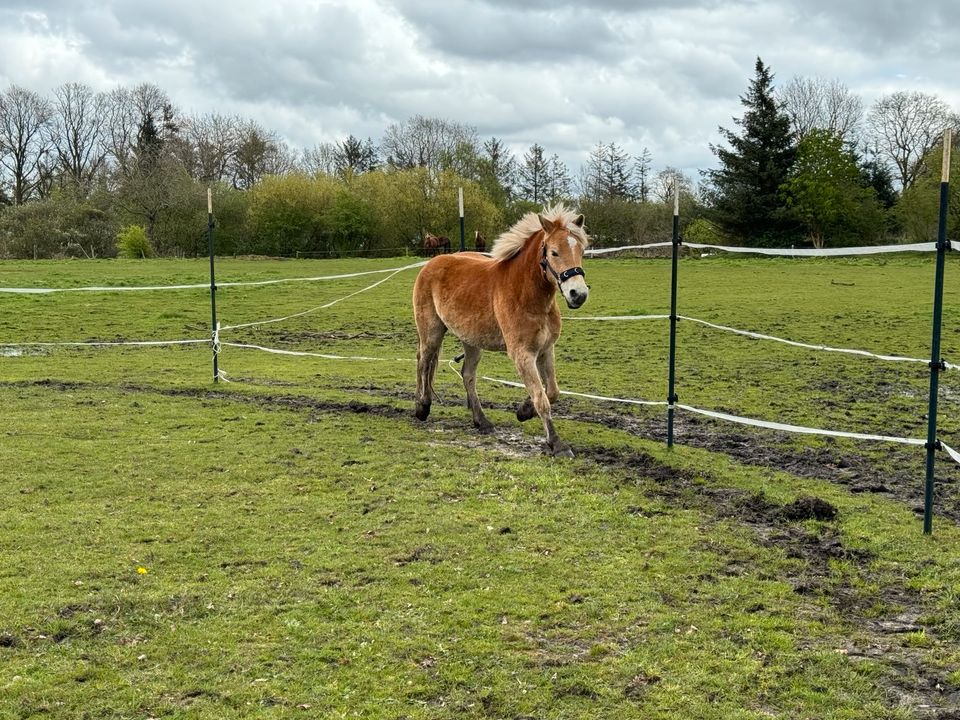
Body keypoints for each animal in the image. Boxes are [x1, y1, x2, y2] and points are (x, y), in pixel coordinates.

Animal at [410, 202, 588, 456]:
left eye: (581, 250)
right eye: (554, 252)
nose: (578, 294)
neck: (528, 295)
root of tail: (431, 263)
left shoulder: (546, 350)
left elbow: (551, 392)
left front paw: (524, 411)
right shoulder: (522, 355)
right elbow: (541, 398)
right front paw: (557, 443)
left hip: (471, 342)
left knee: (467, 375)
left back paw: (481, 420)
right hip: (431, 332)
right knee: (423, 362)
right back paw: (422, 407)